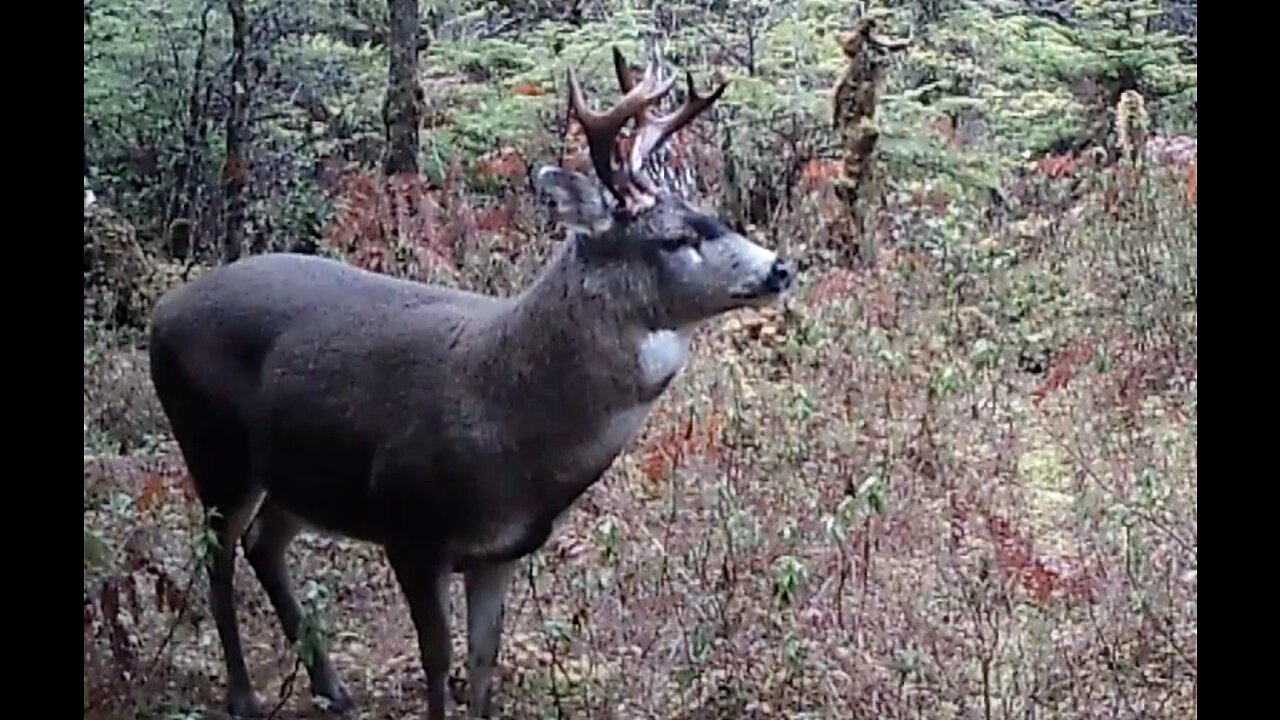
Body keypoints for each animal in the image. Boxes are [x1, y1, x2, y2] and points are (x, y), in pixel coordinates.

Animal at [147, 46, 788, 717]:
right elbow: (438, 659)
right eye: (674, 239)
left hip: (298, 474)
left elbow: (483, 664)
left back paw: (331, 686)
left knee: (263, 545)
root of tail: (163, 311)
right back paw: (244, 694)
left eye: (713, 216)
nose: (779, 268)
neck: (508, 419)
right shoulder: (409, 528)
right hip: (212, 446)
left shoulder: (501, 552)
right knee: (218, 554)